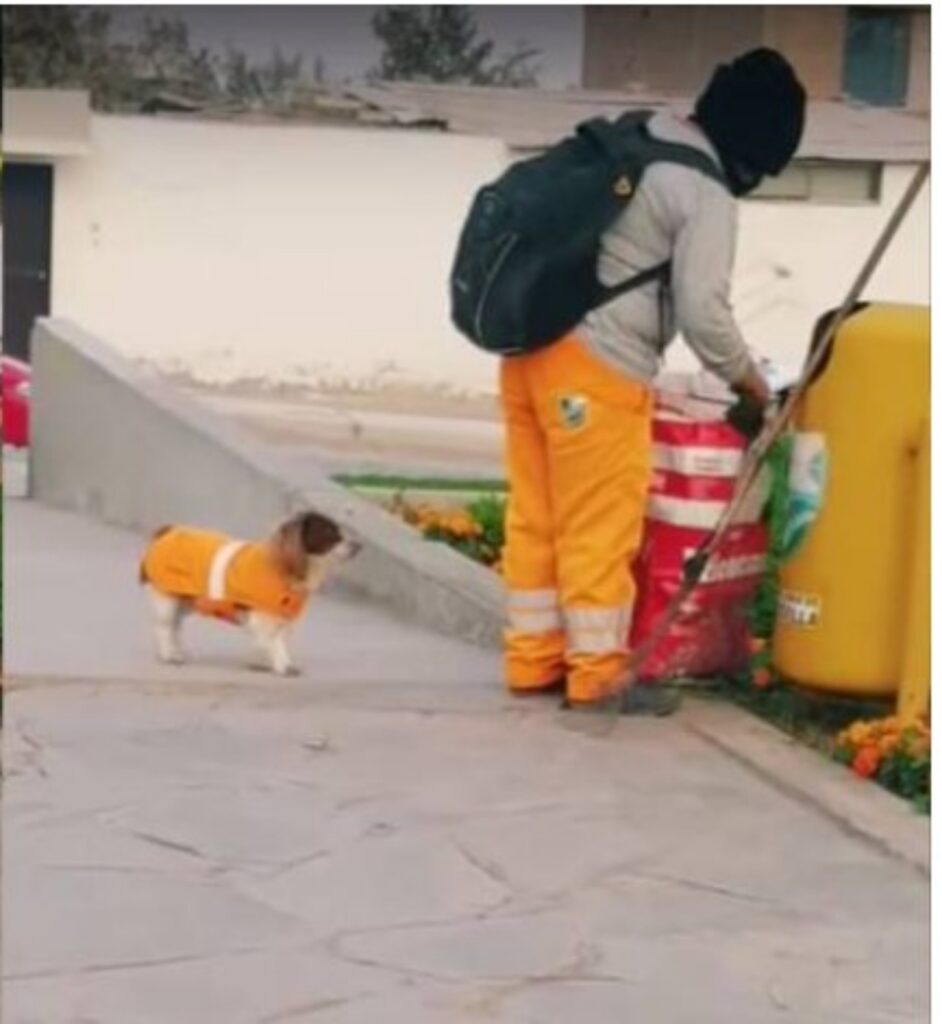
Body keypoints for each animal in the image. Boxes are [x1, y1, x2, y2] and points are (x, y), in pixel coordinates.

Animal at [140, 509, 360, 671]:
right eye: (331, 534)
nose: (358, 545)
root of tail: (167, 531)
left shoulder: (280, 616)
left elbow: (272, 640)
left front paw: (264, 662)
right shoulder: (263, 616)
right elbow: (272, 641)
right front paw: (283, 664)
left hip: (183, 602)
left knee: (175, 626)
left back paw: (176, 651)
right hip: (167, 599)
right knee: (164, 627)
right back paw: (170, 655)